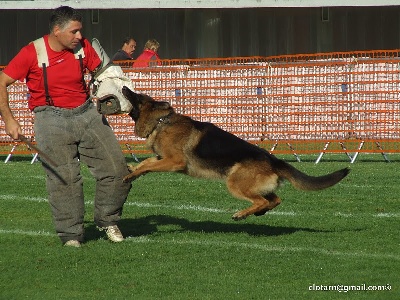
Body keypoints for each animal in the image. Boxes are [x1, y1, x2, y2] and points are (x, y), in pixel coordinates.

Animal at [122, 86, 350, 220]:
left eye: (138, 96)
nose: (124, 87)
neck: (162, 122)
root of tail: (273, 160)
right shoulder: (163, 158)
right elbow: (147, 163)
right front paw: (133, 169)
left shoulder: (174, 161)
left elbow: (150, 165)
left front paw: (131, 174)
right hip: (256, 185)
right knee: (274, 200)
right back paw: (258, 212)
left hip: (235, 183)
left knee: (262, 200)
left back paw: (241, 214)